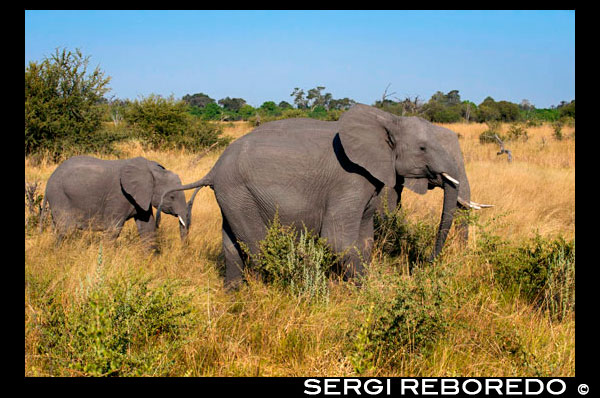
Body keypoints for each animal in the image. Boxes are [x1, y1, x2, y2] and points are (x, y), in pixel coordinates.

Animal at [40, 155, 188, 249]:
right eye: (172, 197)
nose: (183, 248)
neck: (151, 169)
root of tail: (48, 182)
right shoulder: (119, 195)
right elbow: (113, 229)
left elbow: (147, 227)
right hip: (60, 196)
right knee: (65, 230)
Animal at [159, 104, 468, 288]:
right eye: (423, 148)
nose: (424, 264)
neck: (387, 120)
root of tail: (213, 168)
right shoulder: (349, 180)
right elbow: (338, 241)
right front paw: (365, 291)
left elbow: (365, 240)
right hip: (238, 191)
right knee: (255, 246)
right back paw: (266, 291)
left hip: (232, 196)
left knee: (231, 245)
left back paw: (234, 293)